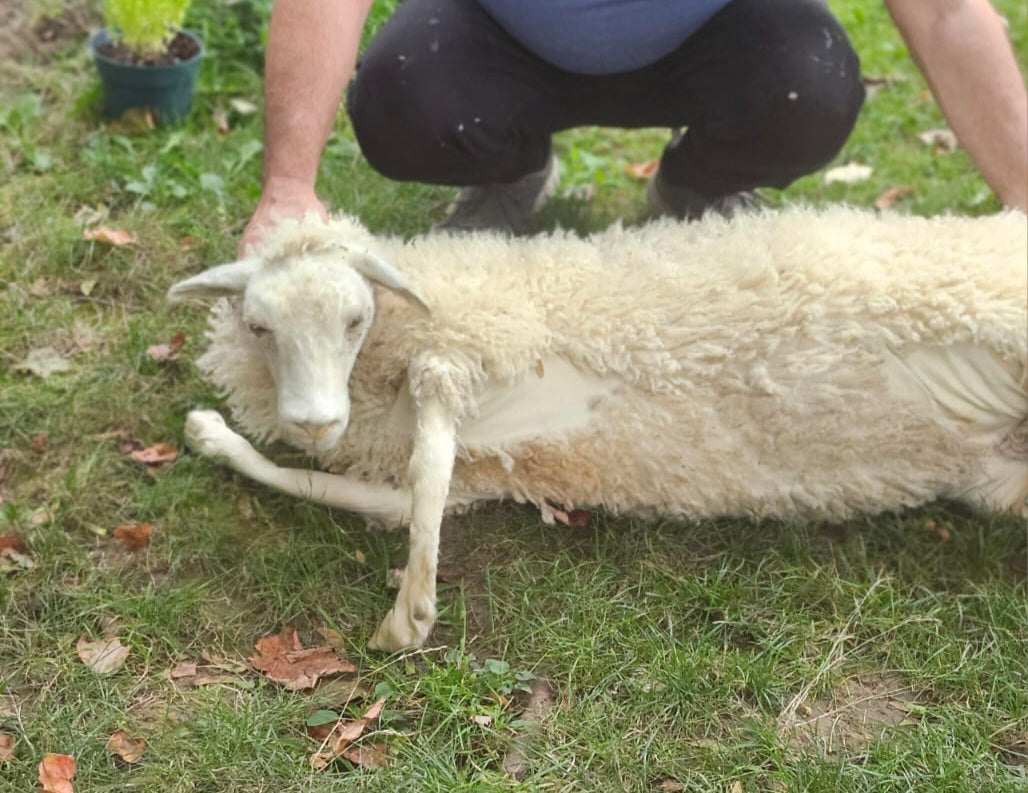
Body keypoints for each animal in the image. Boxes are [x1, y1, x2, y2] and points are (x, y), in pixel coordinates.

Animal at [168, 206, 1028, 652]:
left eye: (355, 317)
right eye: (258, 326)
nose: (314, 420)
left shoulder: (476, 344)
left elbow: (426, 458)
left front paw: (410, 608)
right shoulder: (474, 465)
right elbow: (389, 494)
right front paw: (214, 435)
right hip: (998, 477)